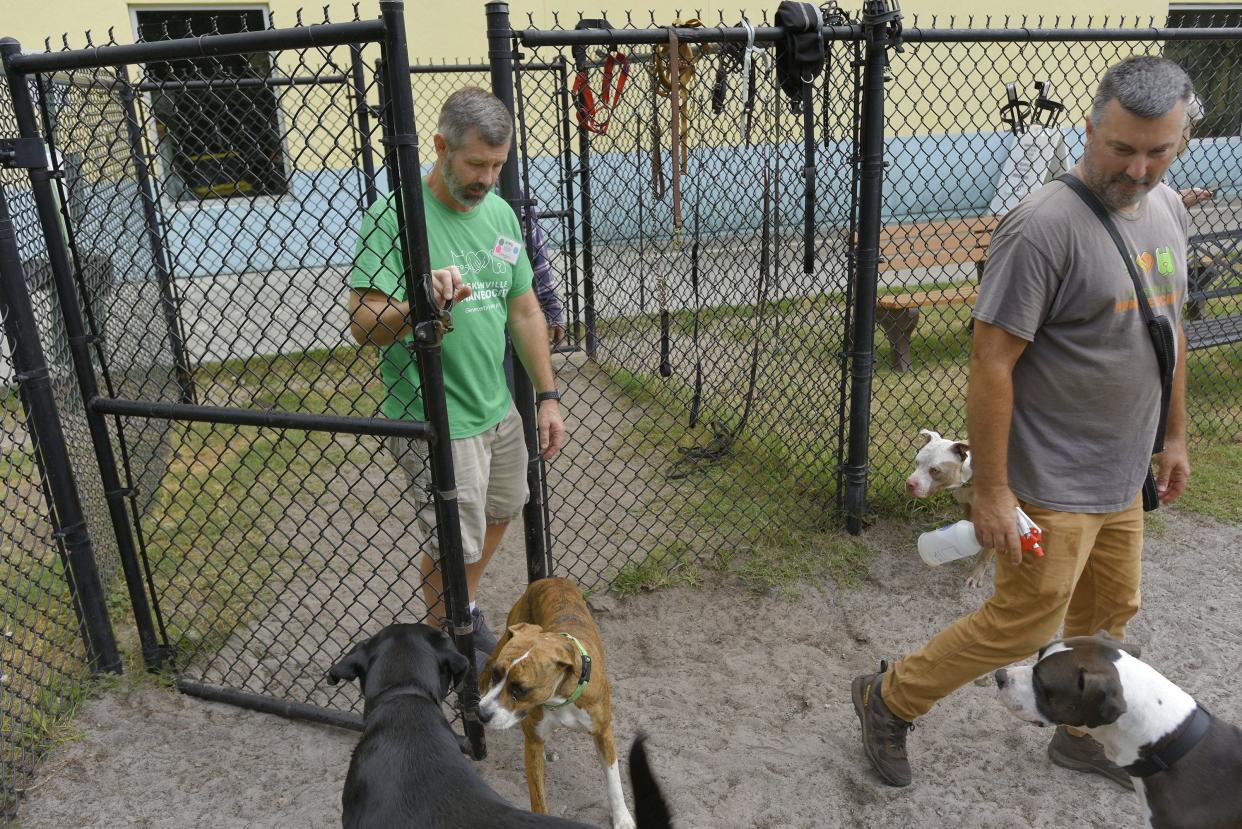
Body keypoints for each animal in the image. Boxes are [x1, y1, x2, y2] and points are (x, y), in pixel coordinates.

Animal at [474, 576, 630, 829]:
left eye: (520, 690)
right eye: (498, 676)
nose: (482, 714)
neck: (560, 697)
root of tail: (551, 579)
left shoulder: (603, 732)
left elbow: (613, 779)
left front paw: (622, 817)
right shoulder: (533, 743)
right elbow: (538, 797)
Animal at [904, 427, 988, 589]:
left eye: (935, 470)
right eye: (917, 462)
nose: (909, 484)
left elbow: (987, 553)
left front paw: (977, 574)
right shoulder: (965, 503)